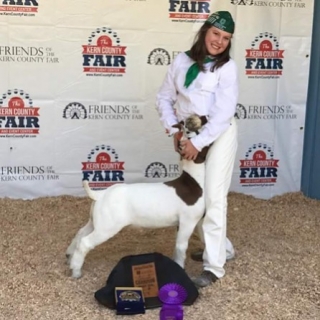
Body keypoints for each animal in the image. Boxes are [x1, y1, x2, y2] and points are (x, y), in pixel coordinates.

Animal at [66, 115, 209, 278]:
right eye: (197, 133)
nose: (204, 117)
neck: (193, 181)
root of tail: (101, 194)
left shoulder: (192, 222)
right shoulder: (187, 222)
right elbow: (180, 247)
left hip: (96, 222)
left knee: (80, 234)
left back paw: (69, 257)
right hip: (107, 227)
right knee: (85, 242)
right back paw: (76, 271)